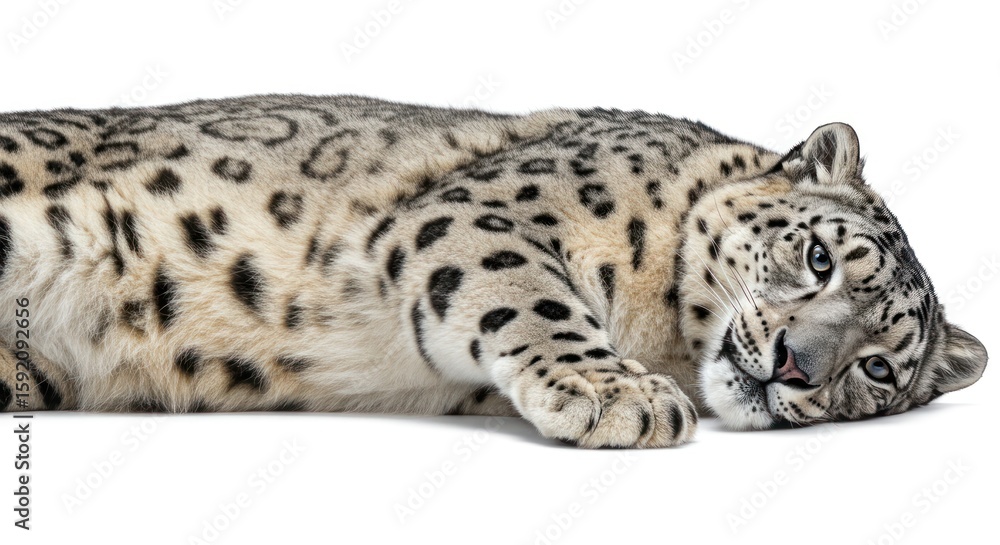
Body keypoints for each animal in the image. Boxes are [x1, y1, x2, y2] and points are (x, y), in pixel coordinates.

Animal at [0, 94, 987, 448]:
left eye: (877, 367)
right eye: (818, 257)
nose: (795, 366)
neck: (661, 335)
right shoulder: (489, 214)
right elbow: (531, 293)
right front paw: (621, 396)